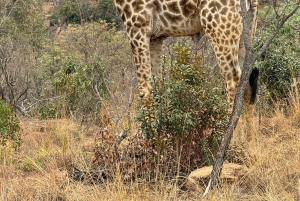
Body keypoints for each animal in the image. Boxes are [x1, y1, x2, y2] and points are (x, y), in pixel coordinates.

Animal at [113, 0, 258, 110]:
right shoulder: (155, 37)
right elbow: (157, 83)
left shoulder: (137, 24)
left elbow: (144, 88)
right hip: (245, 29)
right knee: (247, 79)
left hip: (218, 26)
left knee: (233, 77)